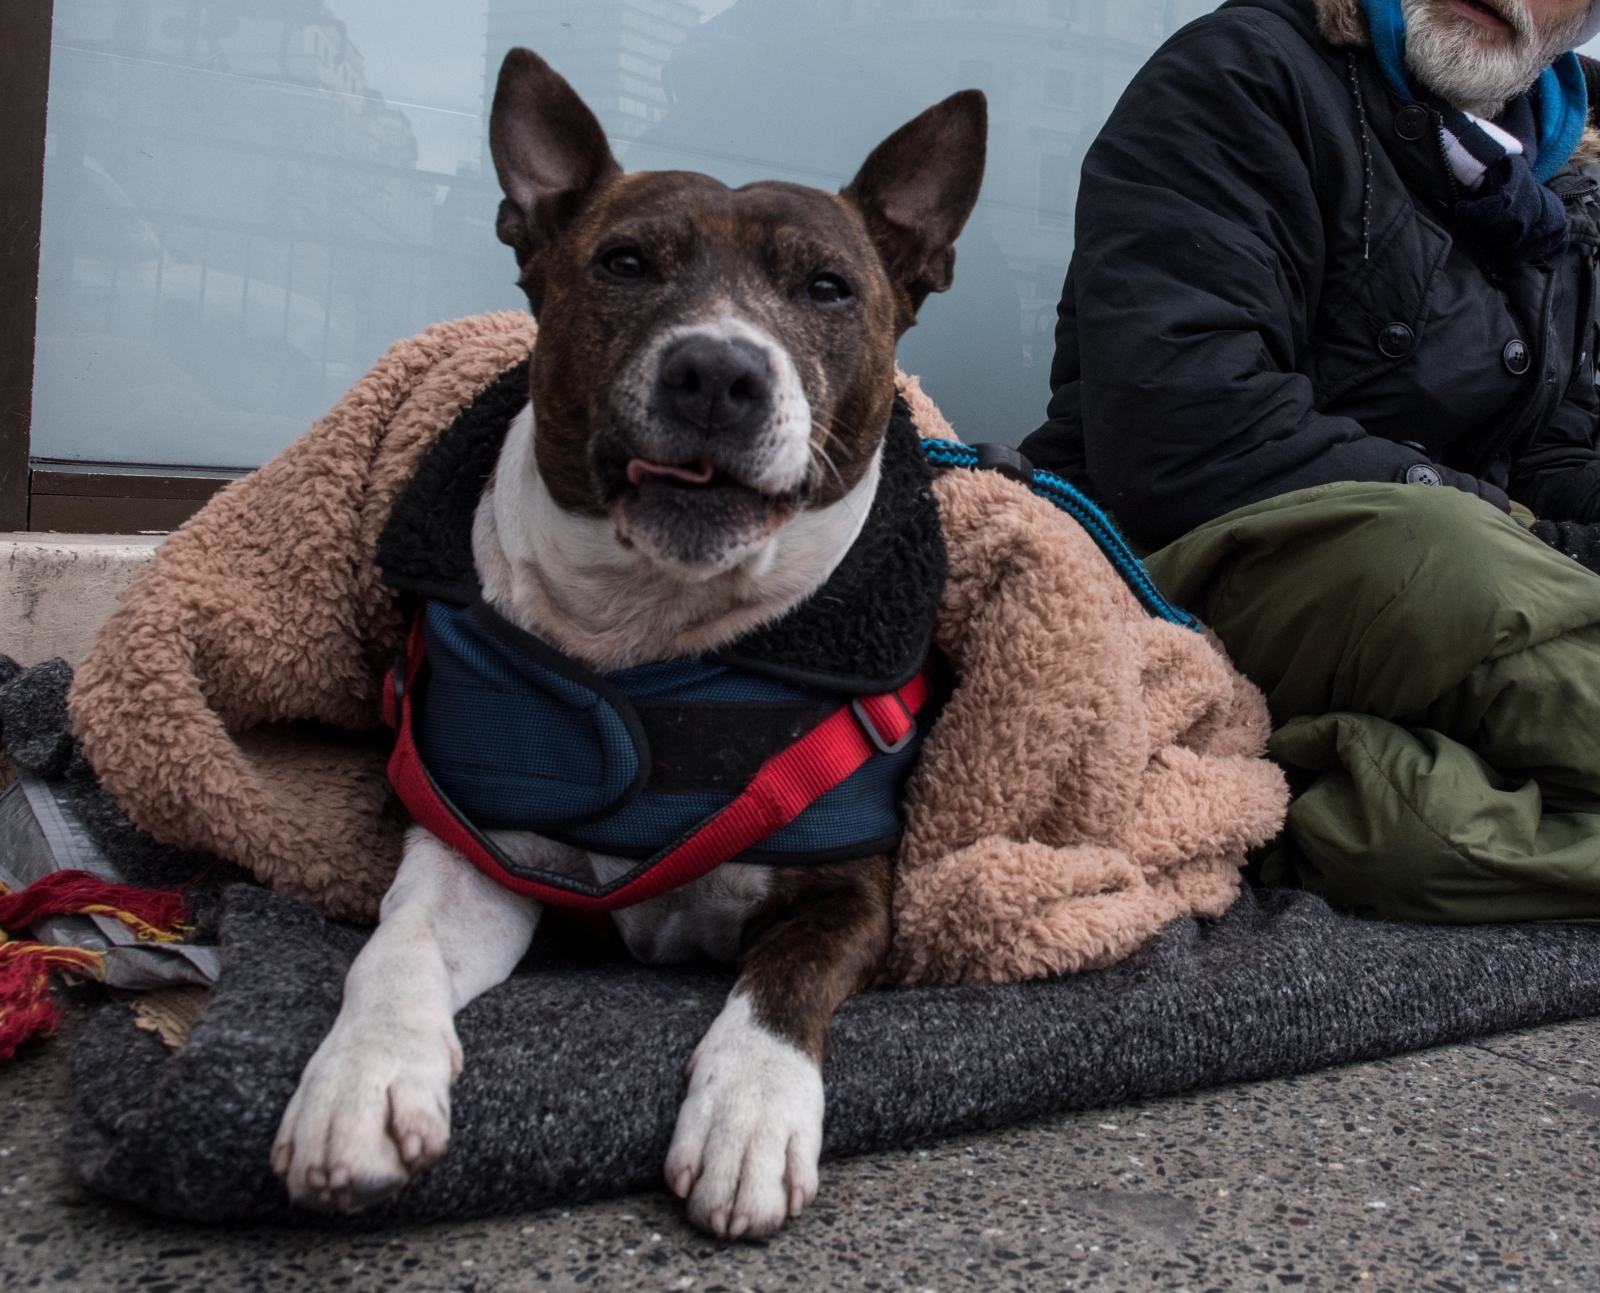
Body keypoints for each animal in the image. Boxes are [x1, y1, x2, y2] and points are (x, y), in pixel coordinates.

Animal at [268, 53, 979, 1241]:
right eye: (625, 262)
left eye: (828, 288)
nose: (717, 373)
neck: (657, 624)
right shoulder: (472, 852)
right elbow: (396, 948)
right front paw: (360, 1081)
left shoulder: (849, 888)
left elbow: (780, 987)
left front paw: (749, 1115)